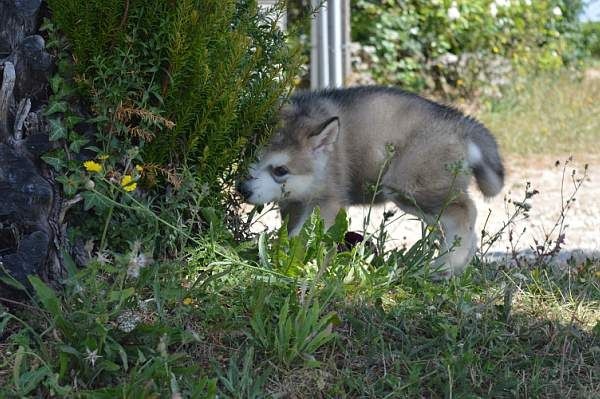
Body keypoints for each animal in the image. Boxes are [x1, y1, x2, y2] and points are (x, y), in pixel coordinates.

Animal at [237, 87, 504, 276]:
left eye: (280, 170)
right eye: (249, 157)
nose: (242, 189)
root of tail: (461, 123)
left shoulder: (327, 200)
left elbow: (305, 235)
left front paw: (293, 260)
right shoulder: (293, 203)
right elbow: (291, 229)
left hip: (409, 186)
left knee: (465, 211)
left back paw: (446, 264)